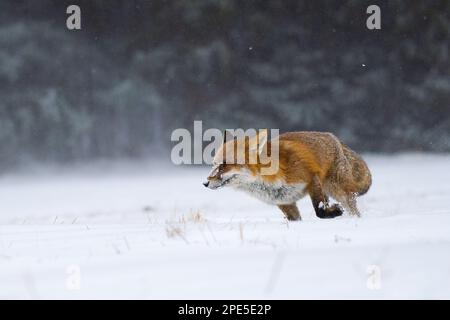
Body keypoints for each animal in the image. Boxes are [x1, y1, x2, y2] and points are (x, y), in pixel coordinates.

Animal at [202, 130, 370, 220]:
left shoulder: (311, 179)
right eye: (214, 164)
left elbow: (319, 210)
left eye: (224, 165)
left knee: (353, 210)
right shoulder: (285, 202)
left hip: (338, 191)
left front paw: (334, 212)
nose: (205, 183)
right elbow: (296, 219)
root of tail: (333, 136)